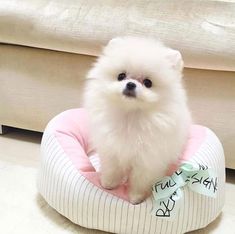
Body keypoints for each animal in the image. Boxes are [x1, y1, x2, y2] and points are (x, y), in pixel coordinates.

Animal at [83, 36, 191, 203]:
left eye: (148, 83)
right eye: (121, 76)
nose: (130, 84)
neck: (131, 115)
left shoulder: (147, 159)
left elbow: (141, 179)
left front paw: (136, 197)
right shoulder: (111, 149)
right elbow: (112, 168)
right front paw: (109, 183)